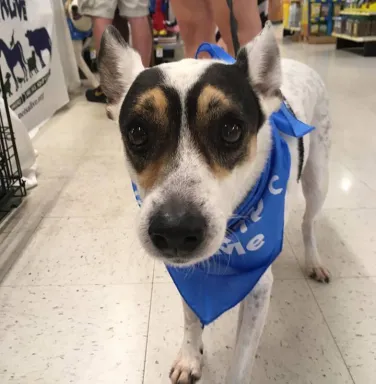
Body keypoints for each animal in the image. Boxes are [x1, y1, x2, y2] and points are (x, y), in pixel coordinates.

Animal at [98, 23, 330, 384]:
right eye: (137, 132)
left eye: (231, 130)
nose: (175, 230)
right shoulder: (190, 275)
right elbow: (191, 318)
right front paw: (191, 357)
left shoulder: (258, 289)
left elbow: (241, 362)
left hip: (319, 178)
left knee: (308, 223)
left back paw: (313, 259)